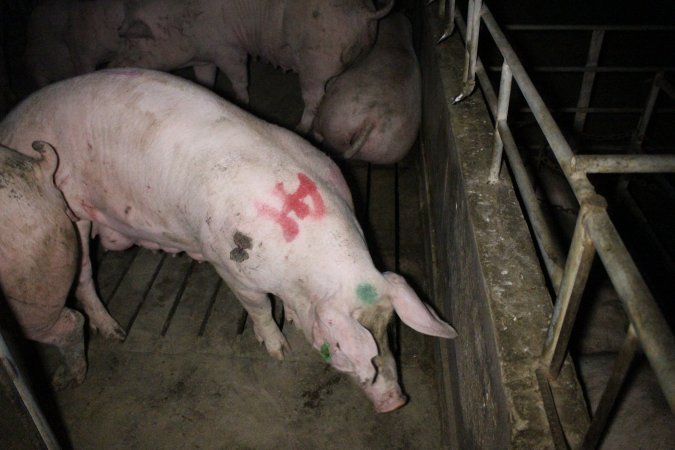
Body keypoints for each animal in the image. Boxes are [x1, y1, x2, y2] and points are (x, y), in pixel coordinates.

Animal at [0, 69, 460, 412]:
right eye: (345, 349)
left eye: (390, 330)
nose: (397, 402)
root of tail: (10, 123)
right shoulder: (229, 265)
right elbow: (258, 309)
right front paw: (279, 350)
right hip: (69, 214)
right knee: (82, 277)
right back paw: (113, 336)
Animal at [111, 0, 396, 133]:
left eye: (132, 42)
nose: (111, 65)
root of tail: (362, 12)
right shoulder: (205, 57)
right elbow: (205, 79)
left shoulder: (229, 49)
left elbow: (239, 78)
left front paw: (241, 101)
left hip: (316, 61)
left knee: (314, 97)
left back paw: (301, 128)